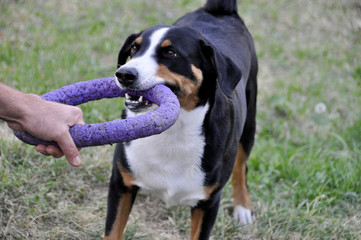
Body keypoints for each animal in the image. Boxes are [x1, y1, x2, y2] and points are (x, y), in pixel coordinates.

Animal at [102, 0, 258, 238]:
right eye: (135, 49)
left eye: (171, 52)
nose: (124, 74)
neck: (172, 132)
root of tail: (219, 12)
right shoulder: (121, 185)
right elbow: (112, 232)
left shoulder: (208, 203)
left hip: (249, 122)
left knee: (241, 166)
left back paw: (243, 208)